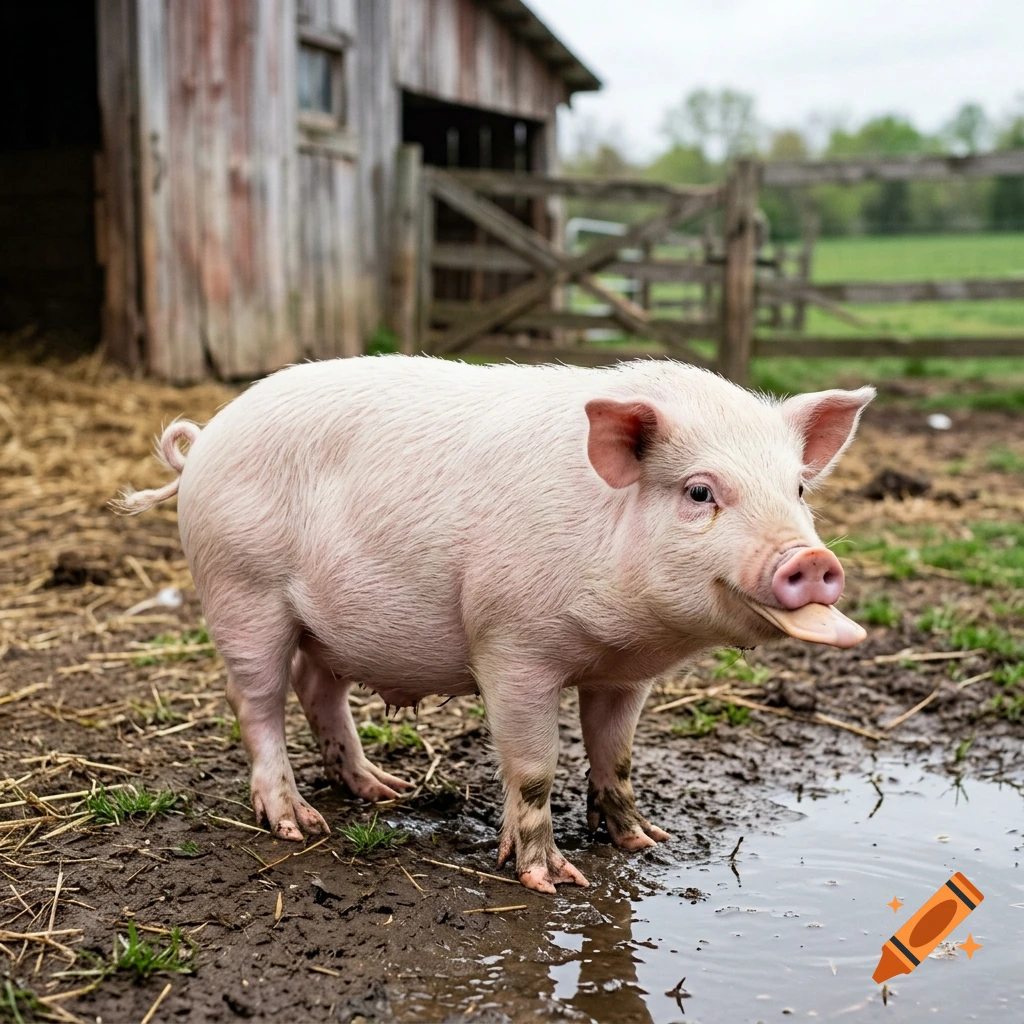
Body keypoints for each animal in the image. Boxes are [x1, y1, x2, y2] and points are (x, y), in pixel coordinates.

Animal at [113, 356, 872, 893]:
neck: (621, 633)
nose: (813, 559)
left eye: (798, 488)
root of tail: (205, 440)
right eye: (700, 491)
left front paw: (645, 841)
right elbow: (535, 769)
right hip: (241, 590)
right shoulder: (512, 648)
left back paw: (384, 790)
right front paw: (549, 880)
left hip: (319, 627)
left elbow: (618, 756)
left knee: (316, 687)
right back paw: (298, 825)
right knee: (256, 700)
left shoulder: (625, 677)